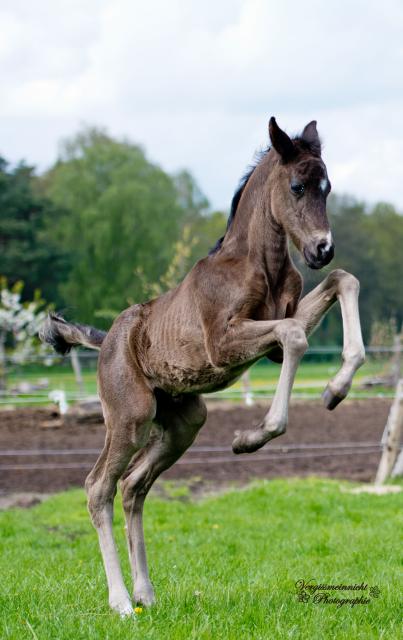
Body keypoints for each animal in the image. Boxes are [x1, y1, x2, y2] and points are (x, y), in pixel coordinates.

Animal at [40, 116, 366, 616]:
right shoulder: (223, 343)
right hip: (130, 418)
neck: (261, 266)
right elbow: (295, 334)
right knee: (98, 487)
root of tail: (107, 337)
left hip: (183, 422)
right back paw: (120, 602)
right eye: (297, 186)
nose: (322, 249)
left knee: (133, 486)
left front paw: (337, 388)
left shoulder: (274, 338)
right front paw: (253, 436)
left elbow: (341, 283)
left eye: (327, 188)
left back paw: (146, 592)